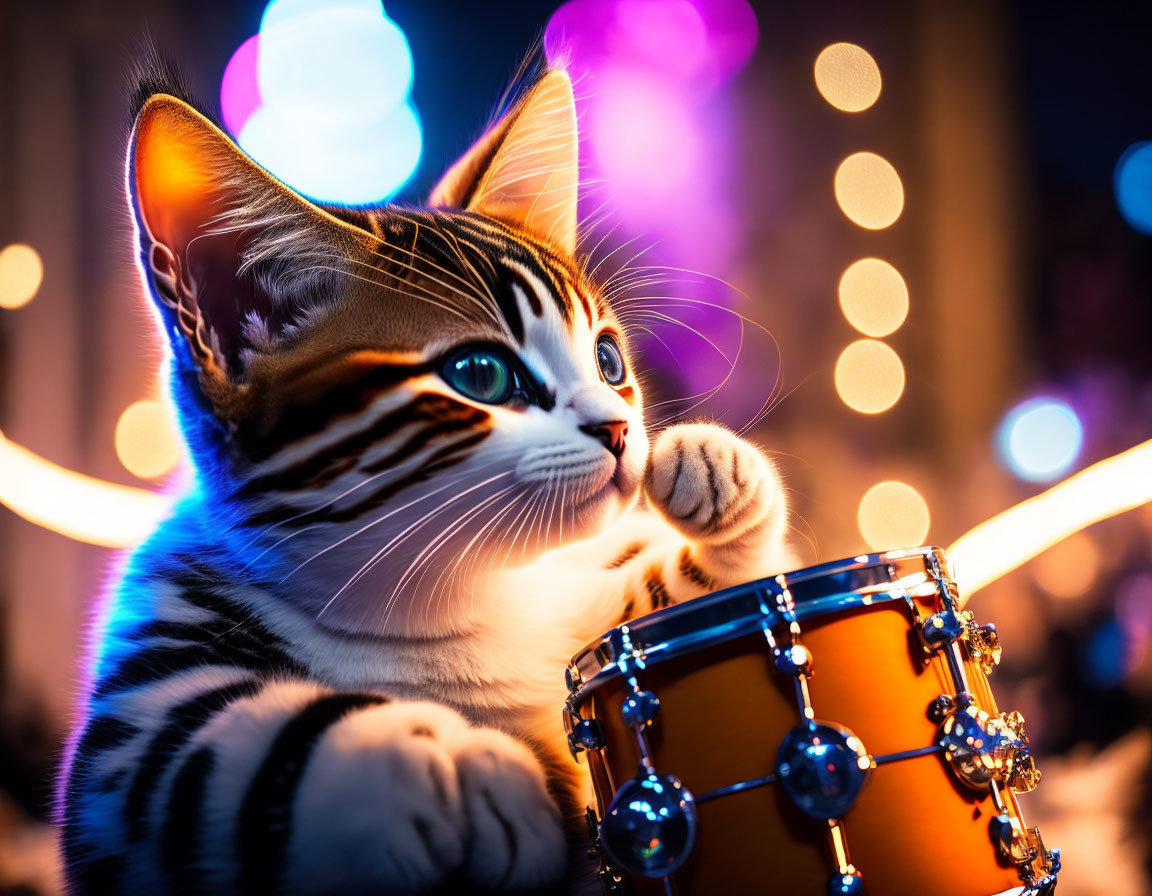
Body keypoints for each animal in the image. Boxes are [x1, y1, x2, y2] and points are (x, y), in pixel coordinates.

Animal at [58, 57, 797, 893]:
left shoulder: (579, 612)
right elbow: (207, 758)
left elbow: (681, 592)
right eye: (480, 375)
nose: (617, 430)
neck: (447, 605)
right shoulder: (134, 716)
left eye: (608, 360)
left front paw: (716, 478)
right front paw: (453, 760)